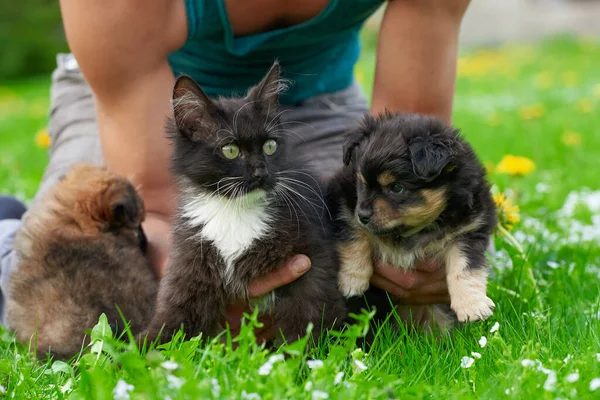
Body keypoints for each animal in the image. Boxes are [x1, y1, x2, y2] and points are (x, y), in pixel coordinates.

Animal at [145, 62, 346, 344]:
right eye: (230, 150)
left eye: (270, 146)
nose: (261, 172)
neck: (235, 209)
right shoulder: (190, 262)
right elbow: (172, 320)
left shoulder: (314, 263)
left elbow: (310, 321)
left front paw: (299, 356)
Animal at [328, 112, 496, 328]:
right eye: (361, 182)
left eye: (397, 188)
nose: (363, 215)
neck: (411, 230)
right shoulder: (342, 202)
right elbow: (354, 234)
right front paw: (352, 280)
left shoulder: (470, 229)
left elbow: (465, 266)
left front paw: (472, 306)